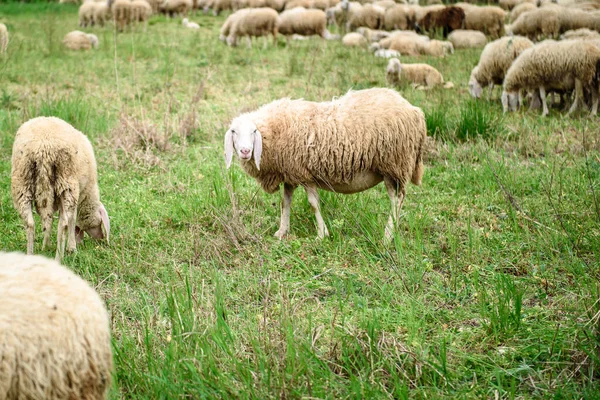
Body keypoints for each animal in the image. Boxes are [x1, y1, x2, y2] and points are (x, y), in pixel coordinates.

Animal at [9, 116, 110, 260]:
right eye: (99, 222)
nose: (100, 240)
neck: (87, 194)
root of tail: (43, 149)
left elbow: (48, 221)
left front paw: (46, 245)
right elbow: (72, 220)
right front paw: (72, 248)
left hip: (22, 183)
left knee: (30, 223)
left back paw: (31, 255)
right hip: (67, 185)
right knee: (63, 224)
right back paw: (59, 258)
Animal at [224, 88, 426, 241]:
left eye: (254, 131)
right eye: (234, 131)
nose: (245, 151)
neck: (273, 132)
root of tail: (415, 110)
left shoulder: (304, 174)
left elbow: (313, 204)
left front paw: (322, 234)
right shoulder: (290, 173)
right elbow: (285, 203)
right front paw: (282, 231)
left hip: (395, 164)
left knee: (396, 199)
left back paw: (388, 235)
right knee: (398, 199)